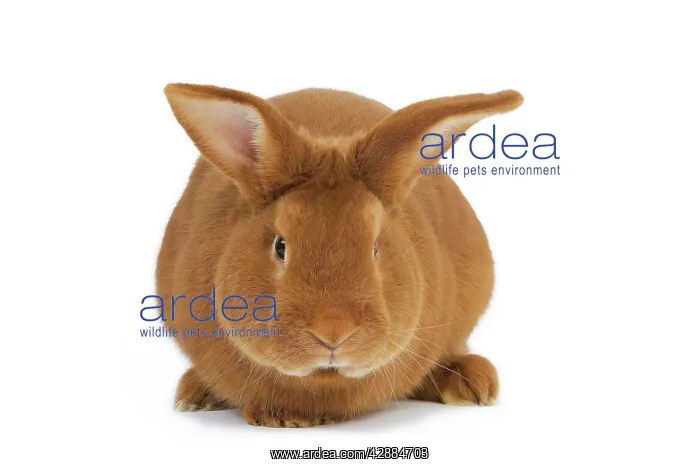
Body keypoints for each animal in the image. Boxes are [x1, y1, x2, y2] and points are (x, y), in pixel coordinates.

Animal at [157, 83, 523, 427]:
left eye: (375, 247)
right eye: (280, 246)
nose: (333, 333)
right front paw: (283, 418)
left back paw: (472, 384)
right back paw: (195, 395)